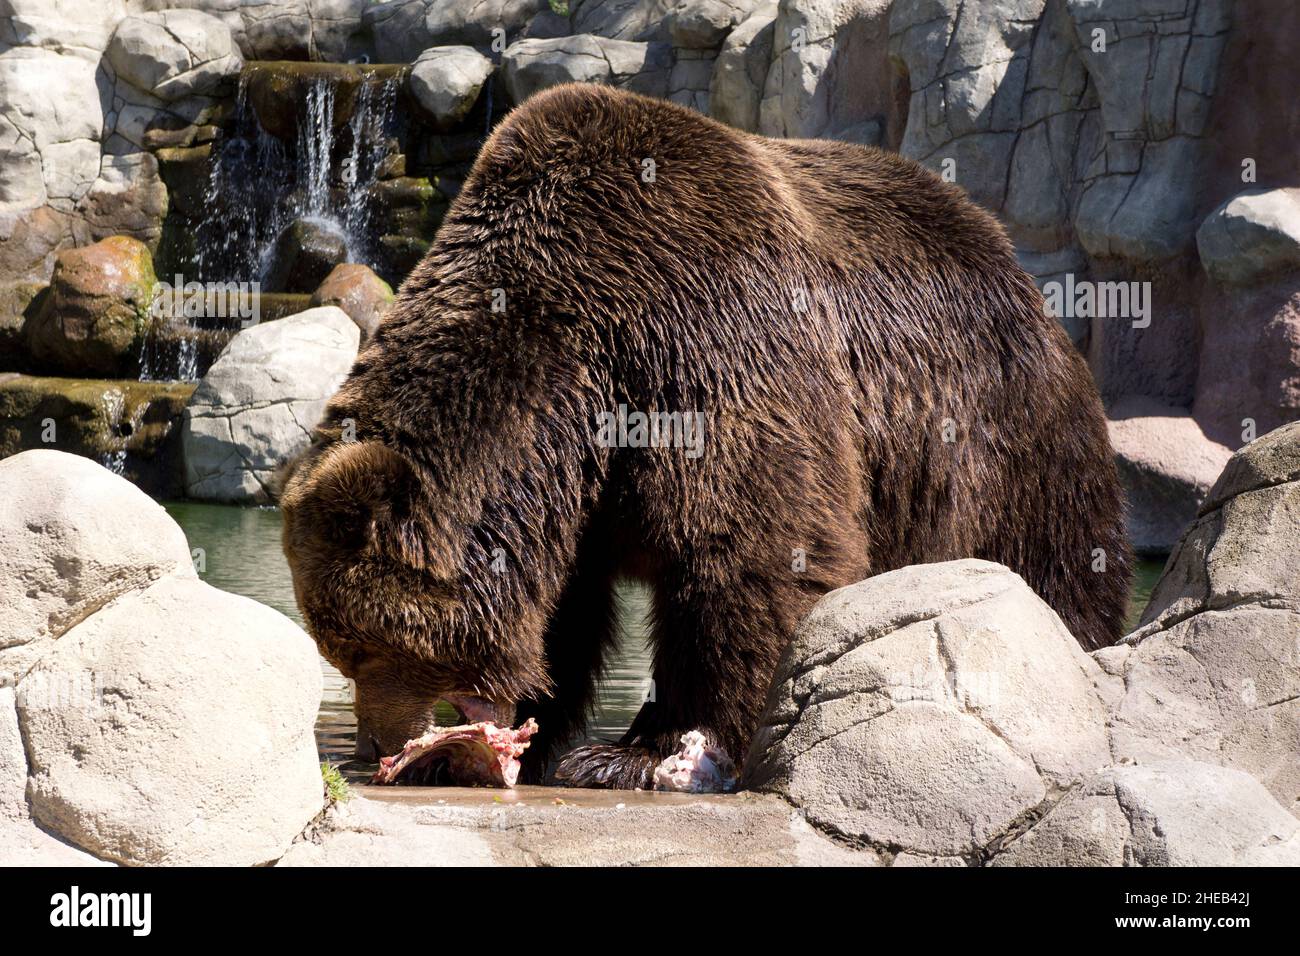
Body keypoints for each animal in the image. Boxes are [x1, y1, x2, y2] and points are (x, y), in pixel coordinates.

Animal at [279, 83, 1131, 789]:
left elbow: (748, 547)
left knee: (1048, 557)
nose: (373, 745)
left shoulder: (704, 335)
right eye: (335, 646)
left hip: (1000, 432)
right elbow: (567, 610)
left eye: (362, 647)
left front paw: (646, 753)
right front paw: (504, 739)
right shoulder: (572, 487)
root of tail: (1007, 255)